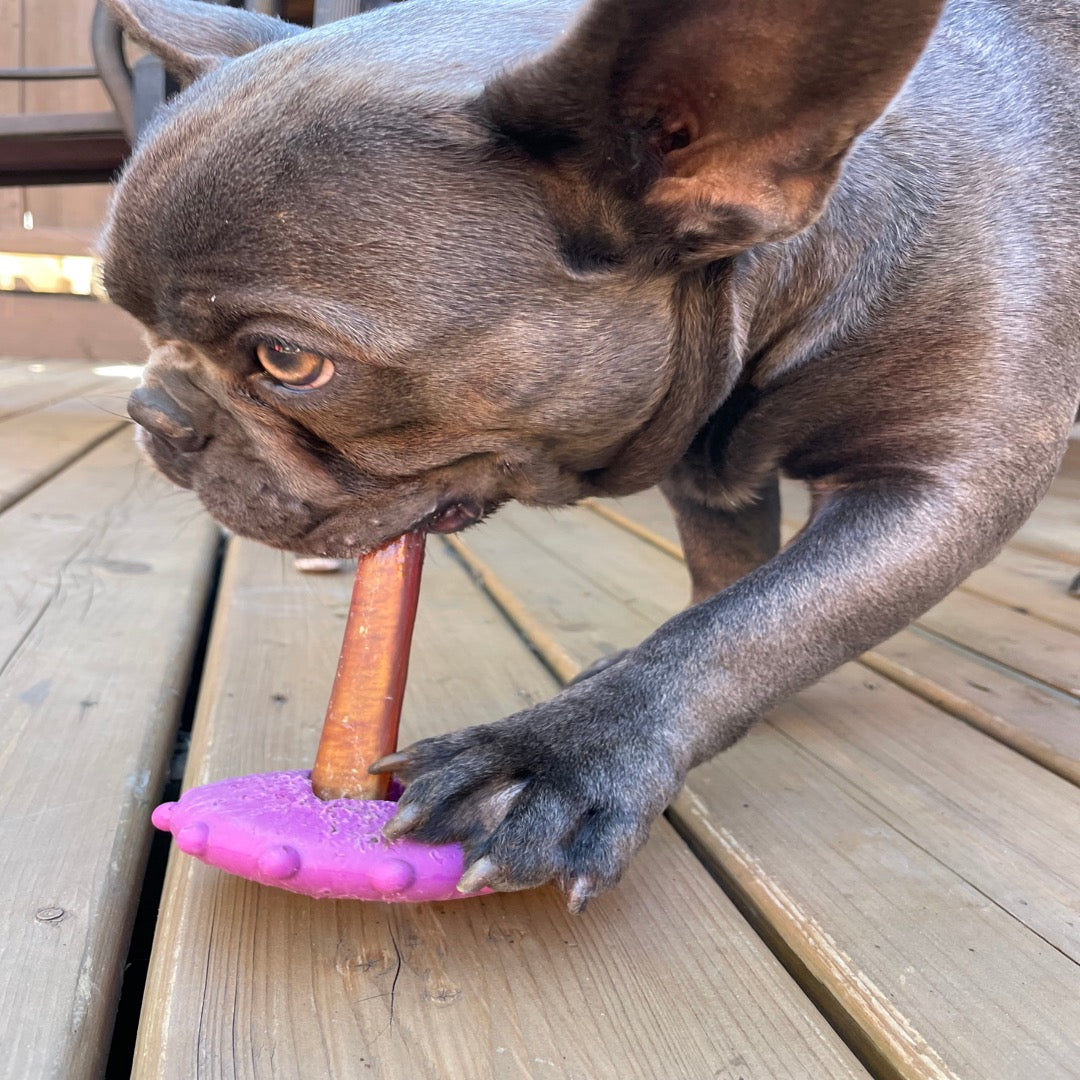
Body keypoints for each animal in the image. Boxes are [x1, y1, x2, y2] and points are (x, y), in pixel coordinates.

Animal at [103, 0, 1080, 911]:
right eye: (130, 316)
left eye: (288, 360)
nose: (155, 409)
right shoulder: (706, 475)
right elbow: (729, 590)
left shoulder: (937, 486)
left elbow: (754, 622)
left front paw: (557, 755)